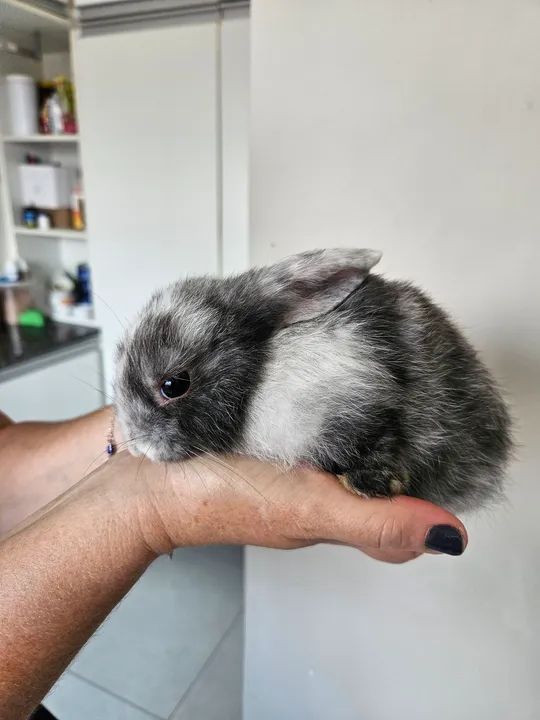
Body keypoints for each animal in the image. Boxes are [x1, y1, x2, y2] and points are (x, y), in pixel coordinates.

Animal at [114, 248, 512, 512]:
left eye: (174, 385)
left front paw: (372, 483)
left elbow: (383, 435)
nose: (137, 446)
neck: (261, 373)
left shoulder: (359, 391)